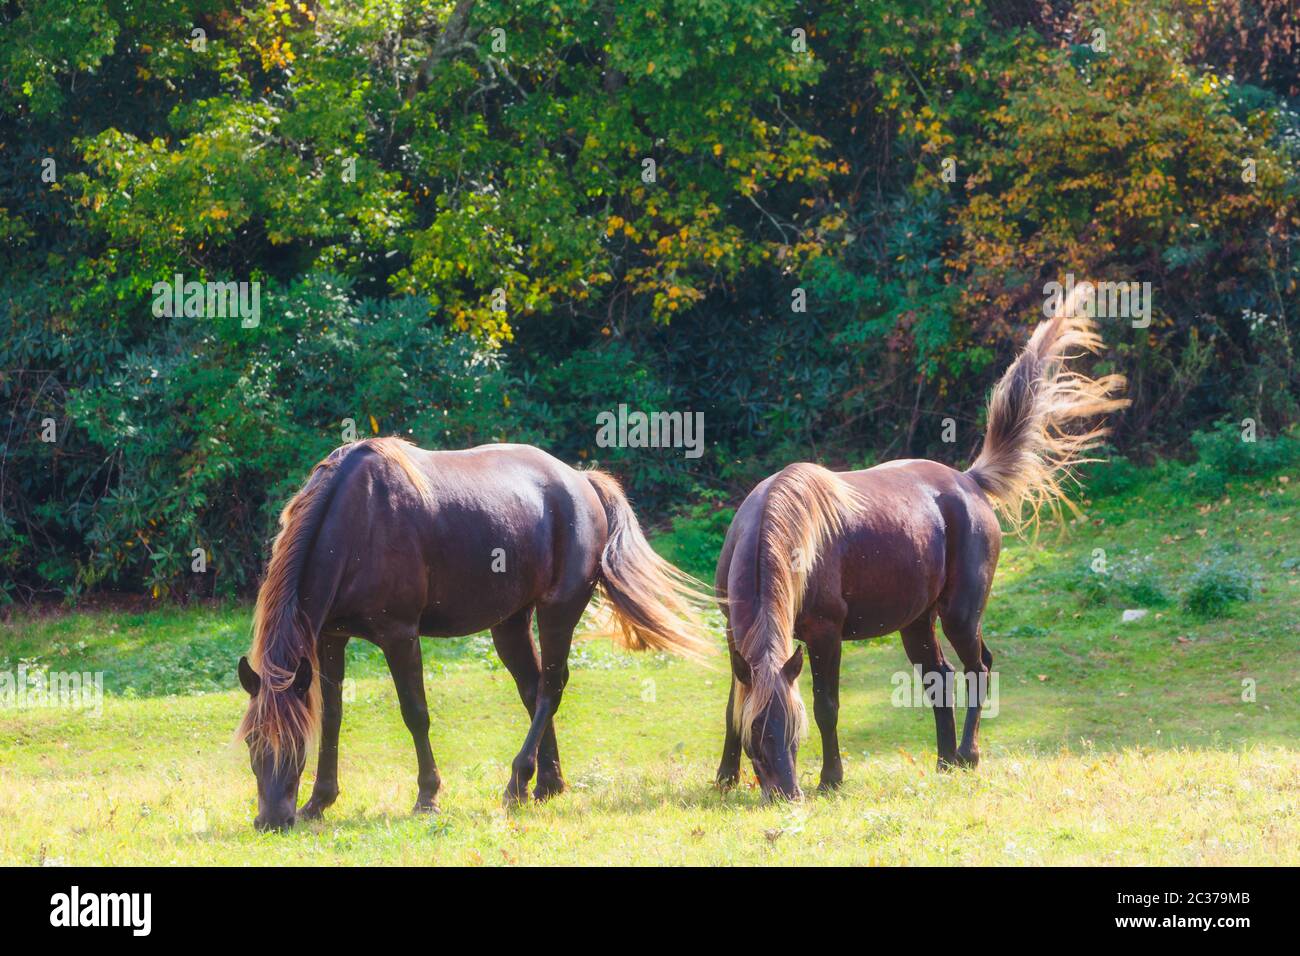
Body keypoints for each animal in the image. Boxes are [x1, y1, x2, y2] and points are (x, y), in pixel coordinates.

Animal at [235, 440, 712, 830]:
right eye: (253, 741)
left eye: (292, 745)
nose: (271, 820)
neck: (356, 520)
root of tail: (582, 482)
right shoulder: (330, 638)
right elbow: (332, 717)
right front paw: (320, 801)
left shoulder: (399, 635)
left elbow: (416, 714)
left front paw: (428, 796)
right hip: (510, 622)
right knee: (534, 688)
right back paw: (547, 784)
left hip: (557, 612)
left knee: (550, 689)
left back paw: (517, 783)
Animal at [714, 289, 1127, 800]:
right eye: (758, 731)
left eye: (793, 730)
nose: (788, 794)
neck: (785, 534)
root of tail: (969, 482)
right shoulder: (734, 635)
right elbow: (733, 705)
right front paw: (725, 777)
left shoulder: (826, 634)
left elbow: (827, 705)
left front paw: (831, 779)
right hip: (917, 621)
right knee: (940, 678)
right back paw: (945, 760)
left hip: (960, 615)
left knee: (978, 668)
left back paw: (967, 754)